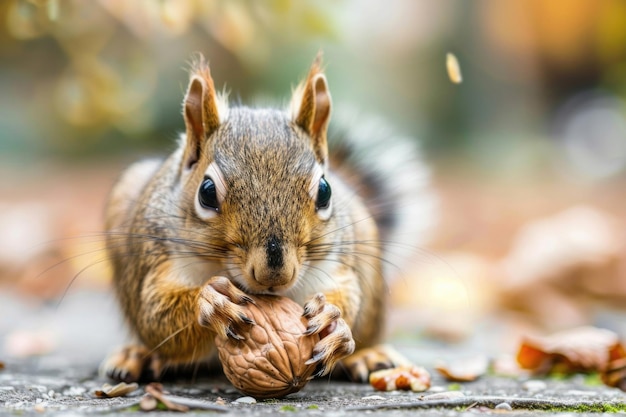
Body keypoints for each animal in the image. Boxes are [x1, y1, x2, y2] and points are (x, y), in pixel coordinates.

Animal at [101, 54, 434, 384]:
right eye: (206, 193)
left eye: (325, 191)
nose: (275, 274)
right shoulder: (157, 261)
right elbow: (156, 315)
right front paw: (211, 302)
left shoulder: (334, 267)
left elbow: (347, 297)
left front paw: (333, 323)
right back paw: (139, 356)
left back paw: (368, 355)